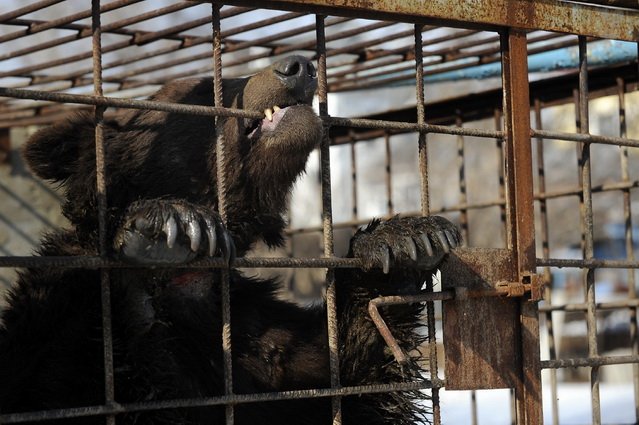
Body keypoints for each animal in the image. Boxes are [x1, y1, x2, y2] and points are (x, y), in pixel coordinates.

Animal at [0, 56, 460, 424]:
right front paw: (169, 227)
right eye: (206, 89)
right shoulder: (57, 322)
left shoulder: (256, 337)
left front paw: (404, 243)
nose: (297, 66)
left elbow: (348, 381)